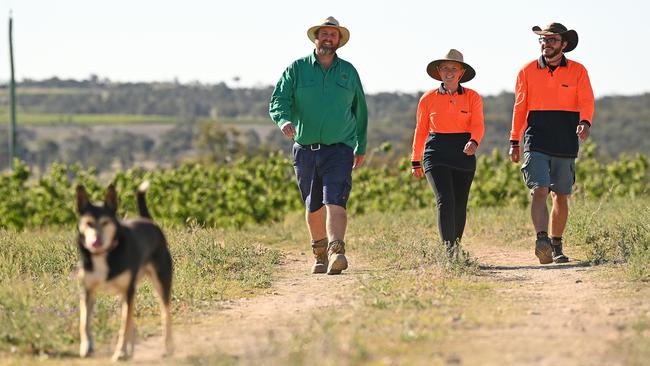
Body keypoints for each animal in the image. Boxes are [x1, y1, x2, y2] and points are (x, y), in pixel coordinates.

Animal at [74, 182, 172, 362]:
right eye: (89, 223)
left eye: (105, 222)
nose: (96, 241)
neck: (105, 254)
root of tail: (148, 221)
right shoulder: (87, 291)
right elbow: (84, 321)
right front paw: (86, 347)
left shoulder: (128, 291)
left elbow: (124, 326)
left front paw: (119, 351)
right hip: (125, 293)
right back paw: (130, 350)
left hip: (161, 282)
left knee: (165, 313)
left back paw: (168, 347)